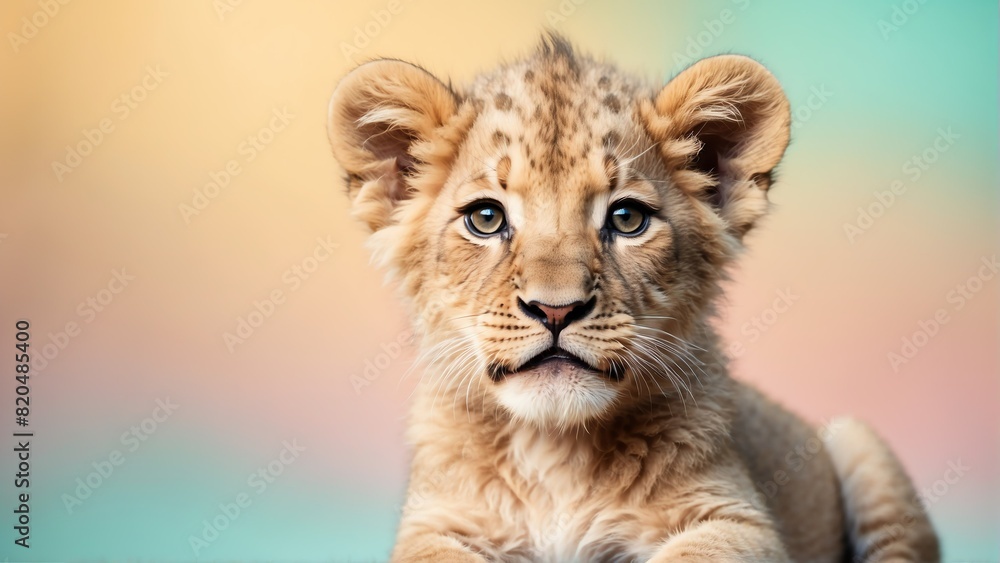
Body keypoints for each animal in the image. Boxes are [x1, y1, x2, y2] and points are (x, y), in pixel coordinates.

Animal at [328, 34, 939, 562]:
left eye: (626, 219)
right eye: (485, 218)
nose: (555, 309)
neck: (556, 453)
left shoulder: (737, 520)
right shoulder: (436, 525)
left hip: (862, 446)